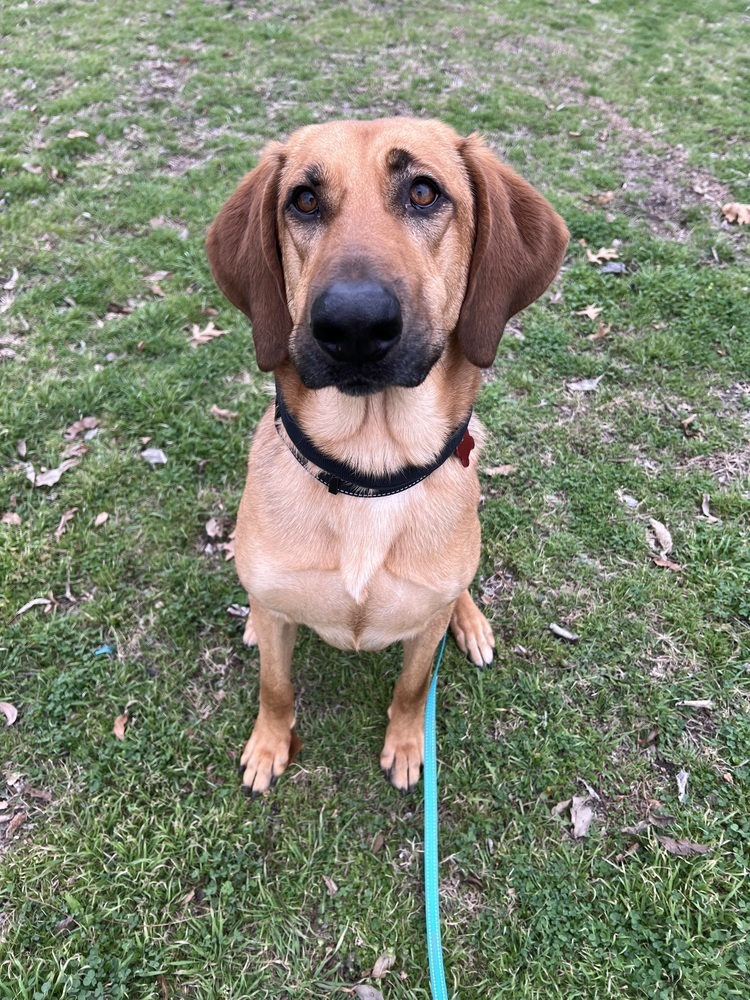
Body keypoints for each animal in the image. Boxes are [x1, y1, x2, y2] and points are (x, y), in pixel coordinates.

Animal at [207, 115, 568, 796]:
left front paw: (405, 745)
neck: (367, 473)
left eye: (424, 192)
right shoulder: (278, 623)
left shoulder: (422, 636)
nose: (353, 325)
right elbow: (275, 685)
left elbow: (412, 688)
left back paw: (469, 621)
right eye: (304, 200)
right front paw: (269, 745)